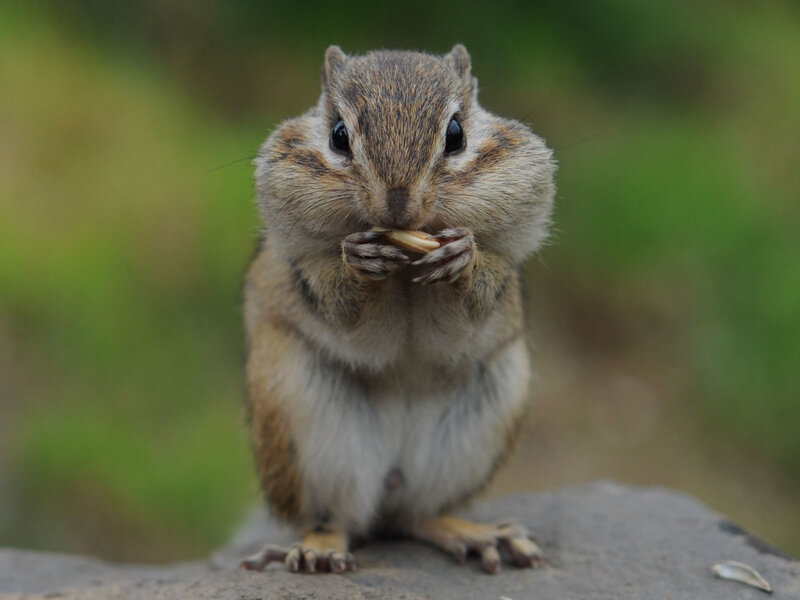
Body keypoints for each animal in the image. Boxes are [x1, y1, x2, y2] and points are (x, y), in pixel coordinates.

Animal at [240, 44, 556, 574]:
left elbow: (475, 299)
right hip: (304, 424)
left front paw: (462, 259)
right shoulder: (306, 273)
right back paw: (319, 548)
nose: (397, 204)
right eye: (339, 135)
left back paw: (477, 534)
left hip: (483, 418)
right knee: (336, 516)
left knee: (419, 515)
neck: (405, 271)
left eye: (456, 135)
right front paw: (359, 263)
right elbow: (342, 305)